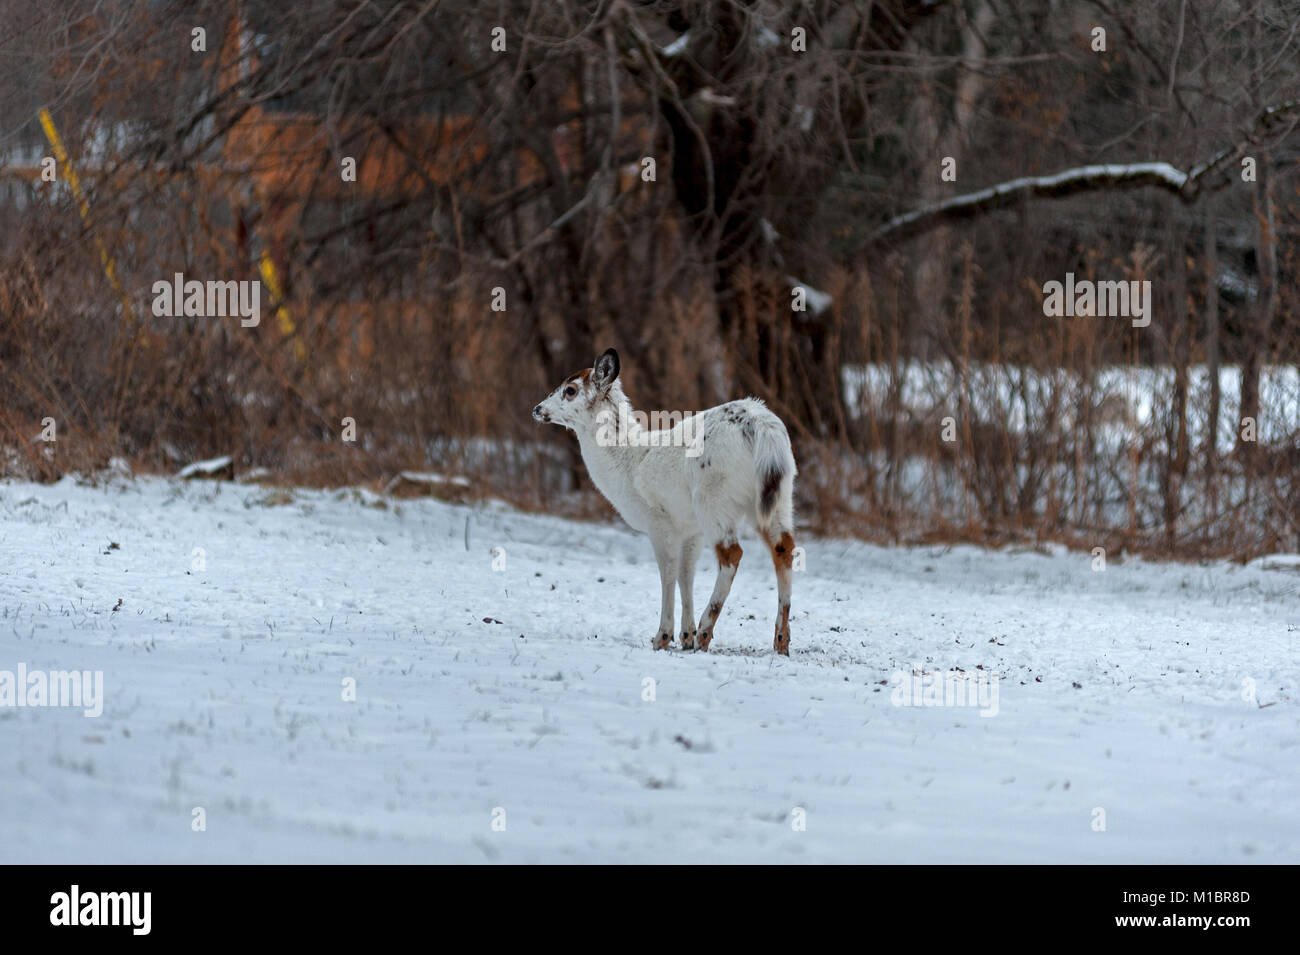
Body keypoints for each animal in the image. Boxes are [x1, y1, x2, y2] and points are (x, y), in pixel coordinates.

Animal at [532, 348, 799, 655]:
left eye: (571, 390)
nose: (537, 409)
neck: (628, 464)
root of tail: (762, 428)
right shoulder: (690, 529)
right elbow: (686, 573)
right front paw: (685, 634)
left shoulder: (660, 520)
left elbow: (668, 572)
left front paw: (664, 636)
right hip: (779, 494)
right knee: (783, 548)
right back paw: (780, 640)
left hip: (714, 497)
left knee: (732, 554)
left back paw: (706, 632)